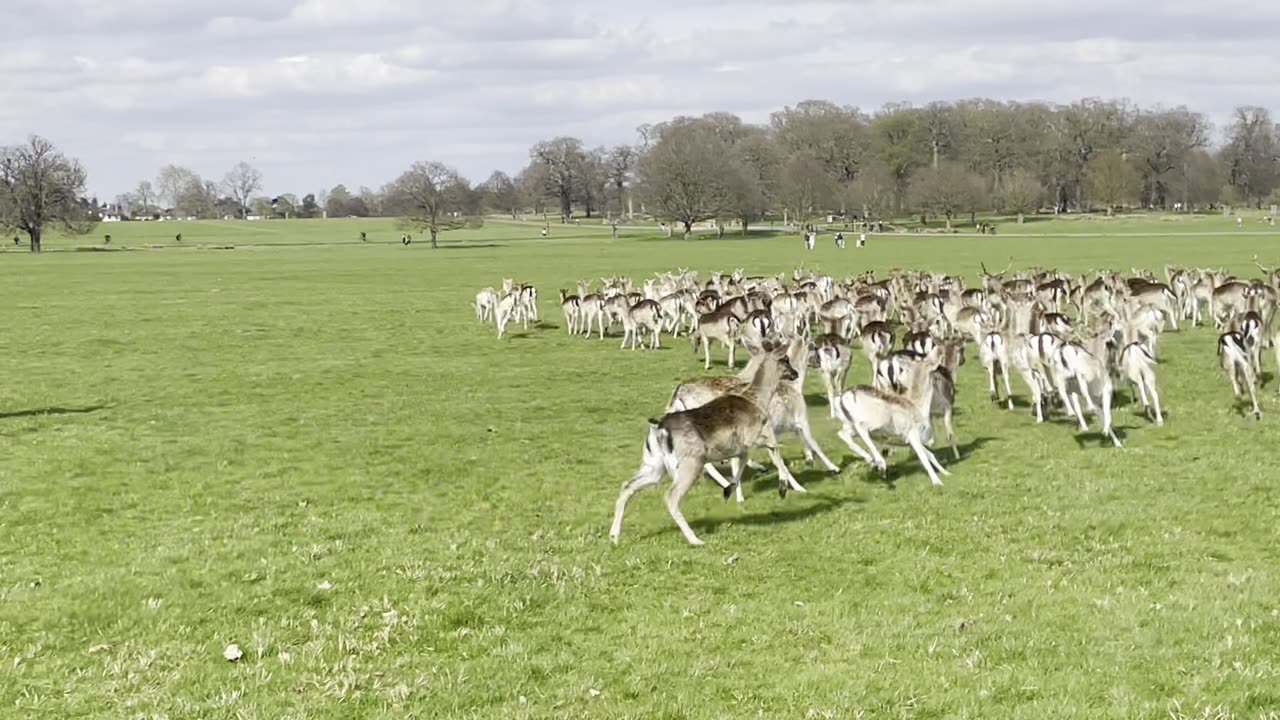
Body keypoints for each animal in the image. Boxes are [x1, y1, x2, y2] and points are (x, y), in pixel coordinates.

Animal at [609, 340, 798, 543]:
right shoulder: (751, 437)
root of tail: (659, 428)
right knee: (670, 497)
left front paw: (729, 489)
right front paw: (782, 488)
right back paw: (695, 539)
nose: (796, 373)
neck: (757, 400)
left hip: (654, 465)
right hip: (690, 462)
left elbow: (743, 462)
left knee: (627, 486)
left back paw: (614, 536)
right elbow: (774, 447)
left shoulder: (740, 447)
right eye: (785, 359)